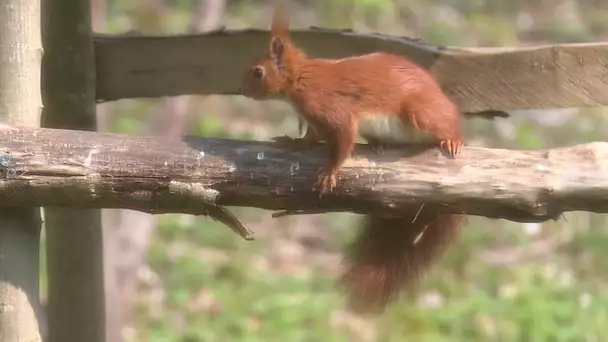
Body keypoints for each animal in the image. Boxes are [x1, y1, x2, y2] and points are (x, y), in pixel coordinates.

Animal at [241, 8, 498, 312]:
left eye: (257, 72)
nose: (243, 90)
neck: (301, 78)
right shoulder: (313, 119)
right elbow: (310, 139)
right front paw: (293, 142)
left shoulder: (329, 107)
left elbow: (343, 139)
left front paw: (330, 171)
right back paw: (379, 143)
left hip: (422, 112)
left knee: (445, 126)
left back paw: (452, 140)